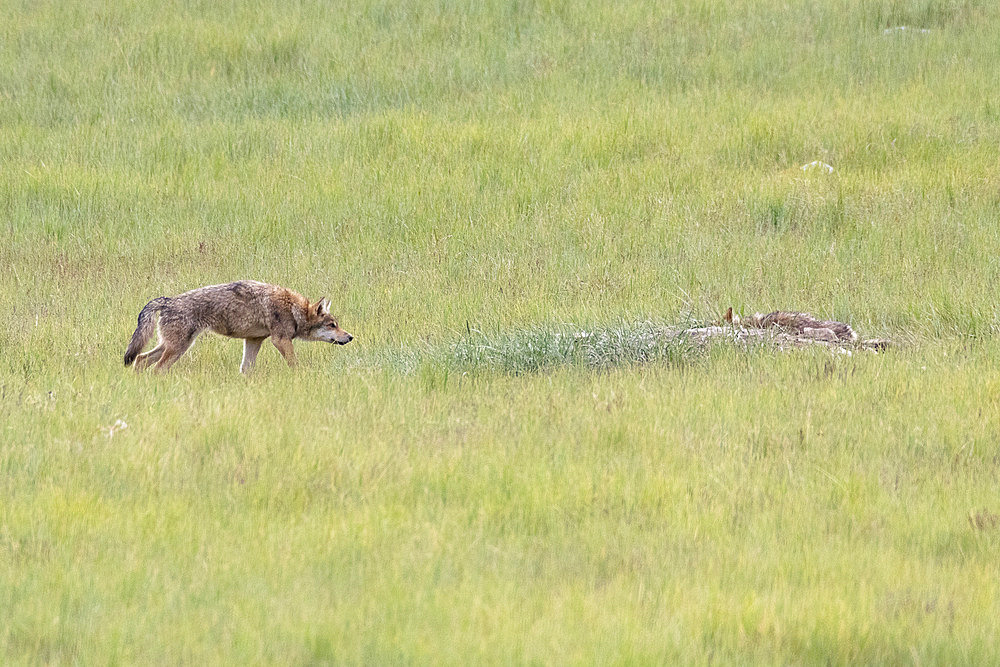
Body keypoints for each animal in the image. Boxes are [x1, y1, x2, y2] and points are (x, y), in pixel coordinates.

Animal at [123, 280, 354, 374]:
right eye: (332, 325)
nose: (350, 337)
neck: (292, 308)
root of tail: (168, 301)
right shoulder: (280, 340)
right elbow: (295, 364)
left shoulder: (253, 340)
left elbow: (246, 369)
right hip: (178, 349)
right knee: (157, 368)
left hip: (171, 346)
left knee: (140, 360)